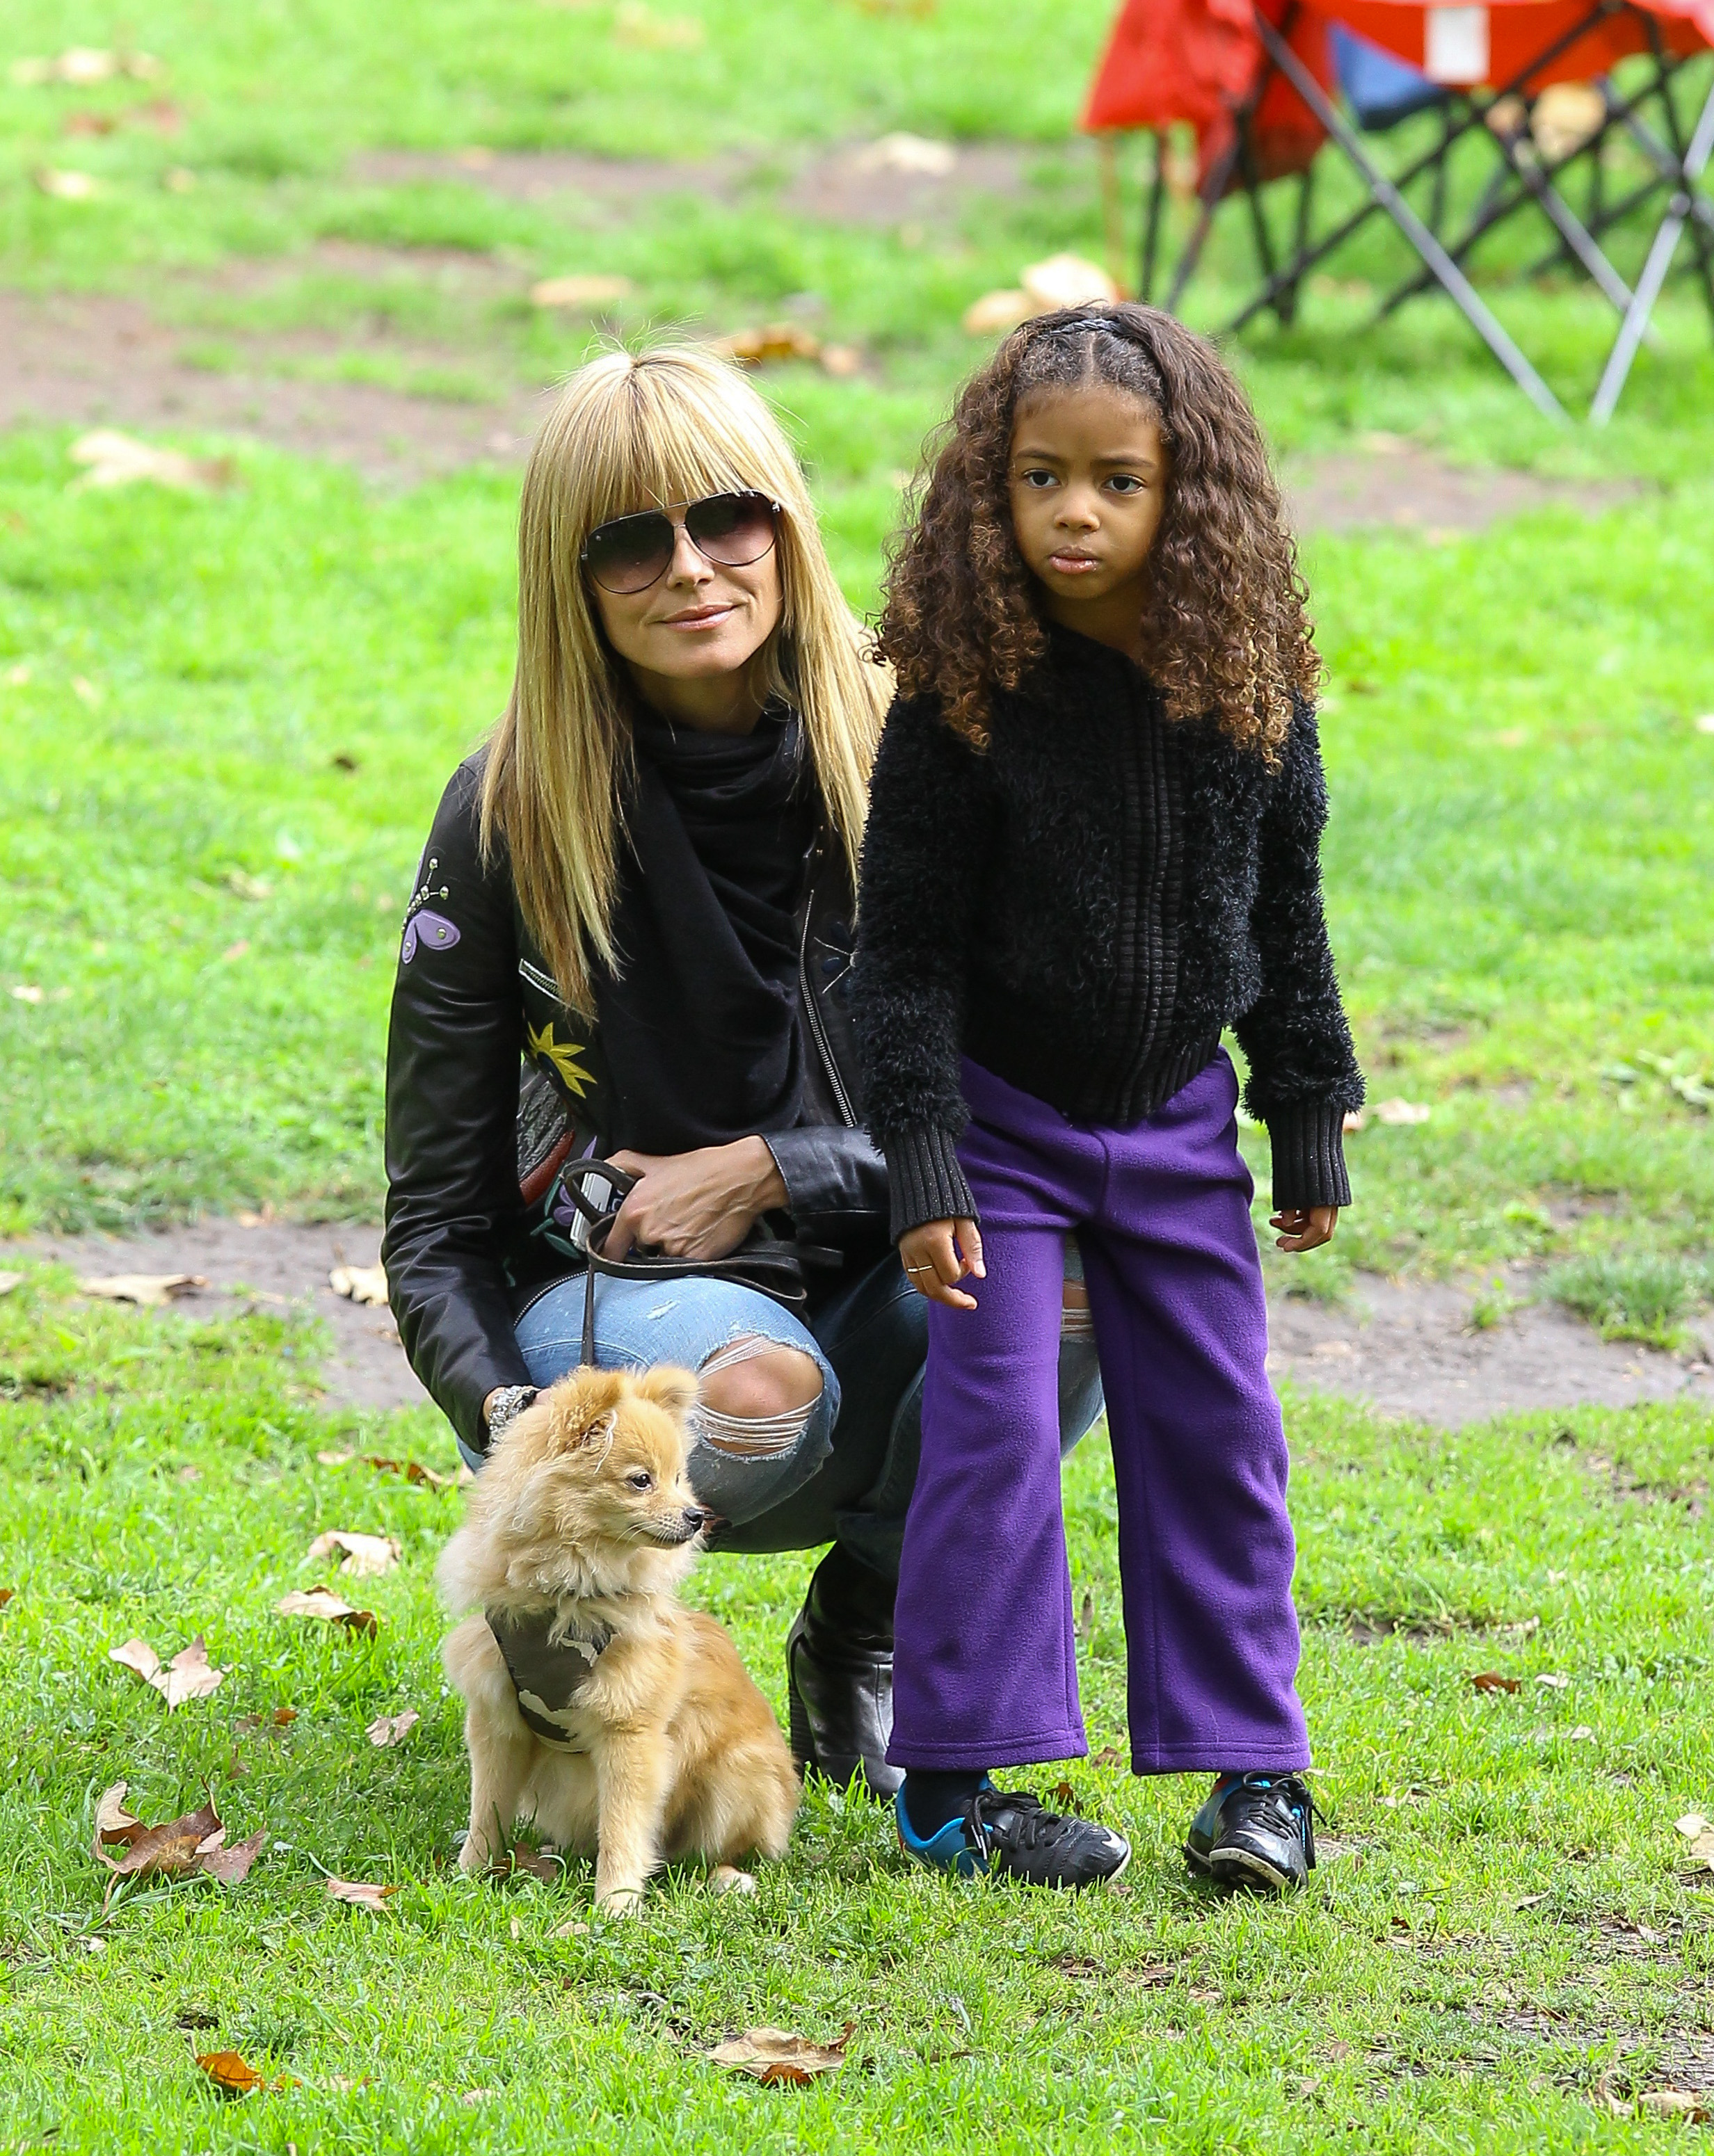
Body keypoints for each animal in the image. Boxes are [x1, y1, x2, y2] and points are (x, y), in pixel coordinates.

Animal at [435, 1353, 797, 1914]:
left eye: (679, 1477)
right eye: (641, 1480)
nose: (697, 1516)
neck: (570, 1591)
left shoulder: (630, 1733)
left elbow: (625, 1828)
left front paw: (616, 1904)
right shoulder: (498, 1721)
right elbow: (487, 1809)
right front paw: (472, 1874)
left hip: (737, 1776)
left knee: (714, 1849)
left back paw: (724, 1879)